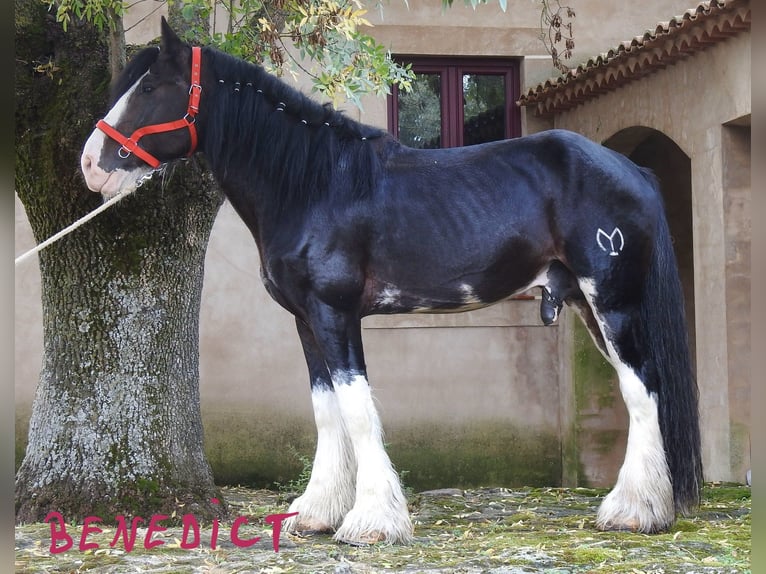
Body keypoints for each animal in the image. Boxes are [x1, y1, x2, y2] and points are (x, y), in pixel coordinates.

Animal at [82, 19, 704, 548]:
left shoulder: (335, 313)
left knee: (642, 389)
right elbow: (326, 411)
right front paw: (316, 512)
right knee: (640, 388)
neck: (314, 183)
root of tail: (631, 168)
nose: (91, 164)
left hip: (613, 302)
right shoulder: (306, 321)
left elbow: (357, 410)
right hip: (585, 305)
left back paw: (633, 511)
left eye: (150, 86)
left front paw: (371, 522)